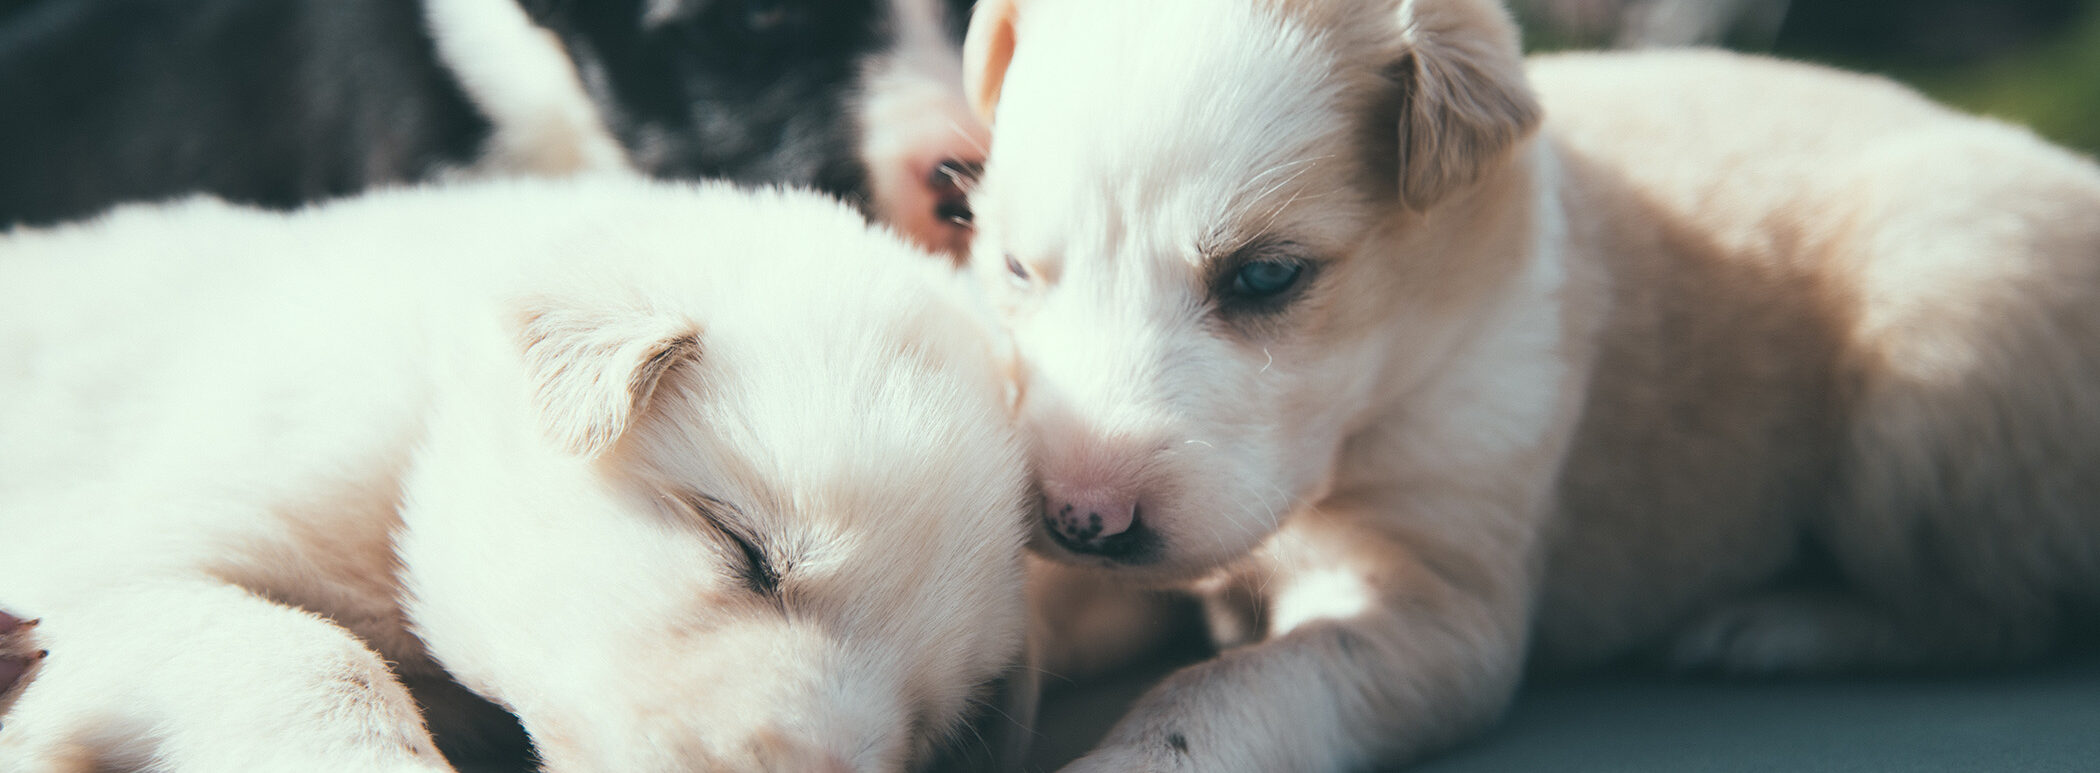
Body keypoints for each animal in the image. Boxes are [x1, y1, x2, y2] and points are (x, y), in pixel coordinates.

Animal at [961, 1, 2100, 773]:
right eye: (1014, 269)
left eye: (1266, 276)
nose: (1083, 516)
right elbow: (1038, 604)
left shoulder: (1441, 601)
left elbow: (1235, 683)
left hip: (1932, 365)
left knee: (2001, 613)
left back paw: (1777, 628)